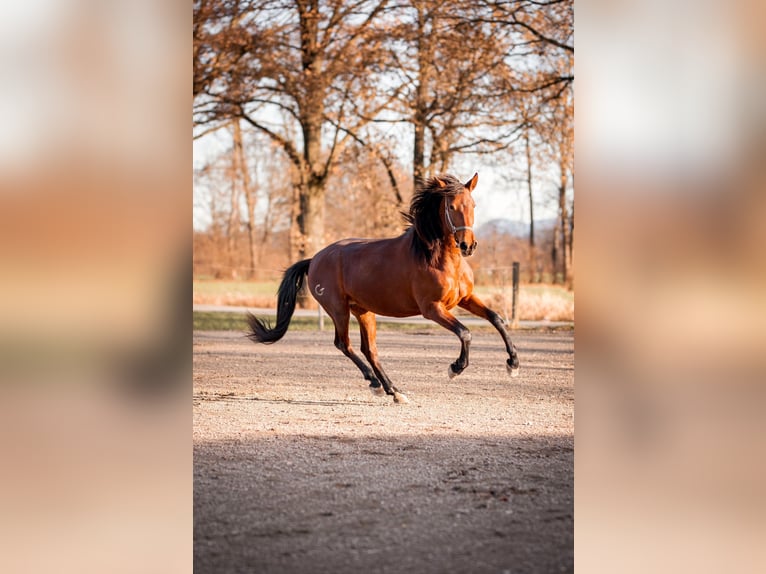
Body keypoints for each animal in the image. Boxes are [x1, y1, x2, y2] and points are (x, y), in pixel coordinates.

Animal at [246, 173, 520, 402]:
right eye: (451, 207)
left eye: (473, 205)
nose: (467, 245)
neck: (436, 257)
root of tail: (314, 259)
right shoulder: (432, 309)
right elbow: (465, 333)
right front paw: (455, 368)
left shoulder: (465, 298)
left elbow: (497, 319)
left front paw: (513, 364)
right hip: (339, 310)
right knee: (344, 344)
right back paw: (378, 384)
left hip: (364, 311)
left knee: (369, 350)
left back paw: (392, 390)